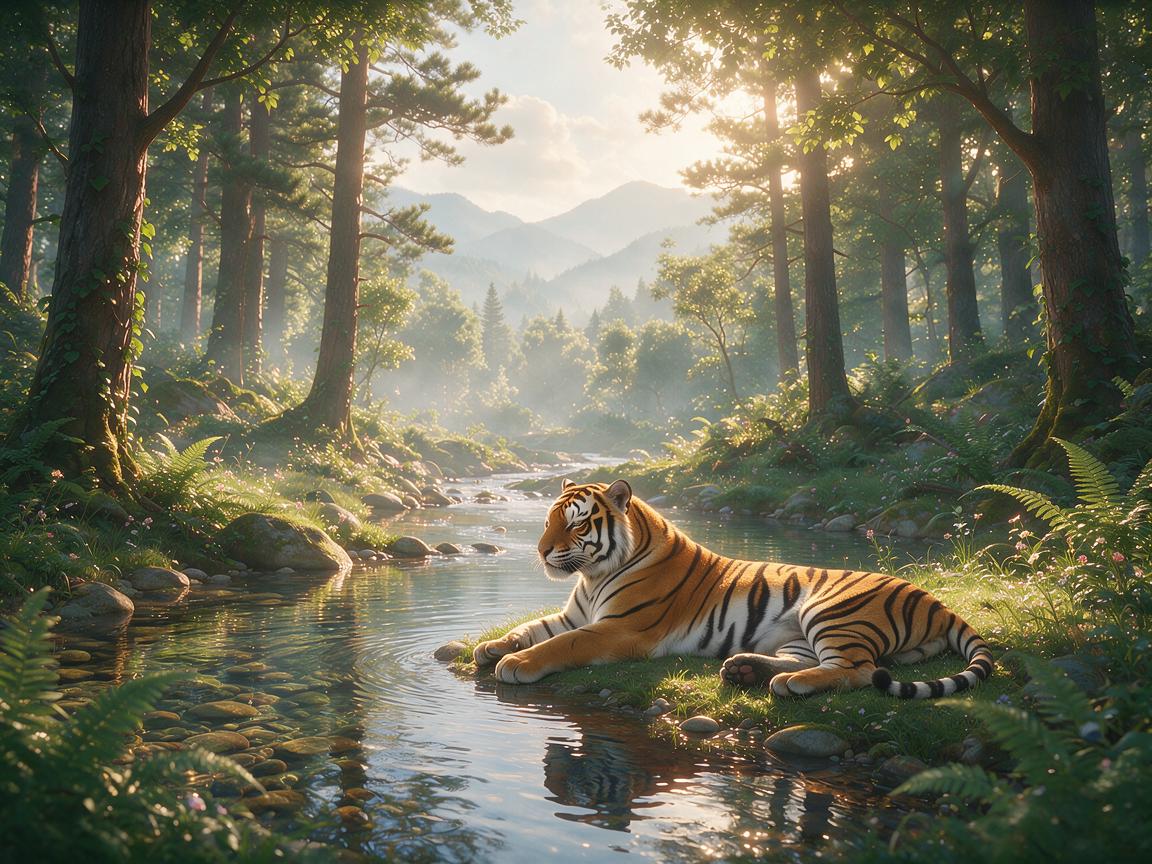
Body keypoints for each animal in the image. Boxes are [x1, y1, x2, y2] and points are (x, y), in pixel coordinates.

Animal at [473, 480, 994, 698]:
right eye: (548, 520)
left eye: (576, 523)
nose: (541, 551)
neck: (595, 572)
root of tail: (937, 600)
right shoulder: (576, 615)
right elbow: (534, 628)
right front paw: (491, 647)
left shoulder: (617, 628)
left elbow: (559, 645)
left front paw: (516, 664)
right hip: (800, 637)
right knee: (816, 662)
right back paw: (746, 669)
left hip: (832, 612)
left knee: (861, 670)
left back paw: (790, 685)